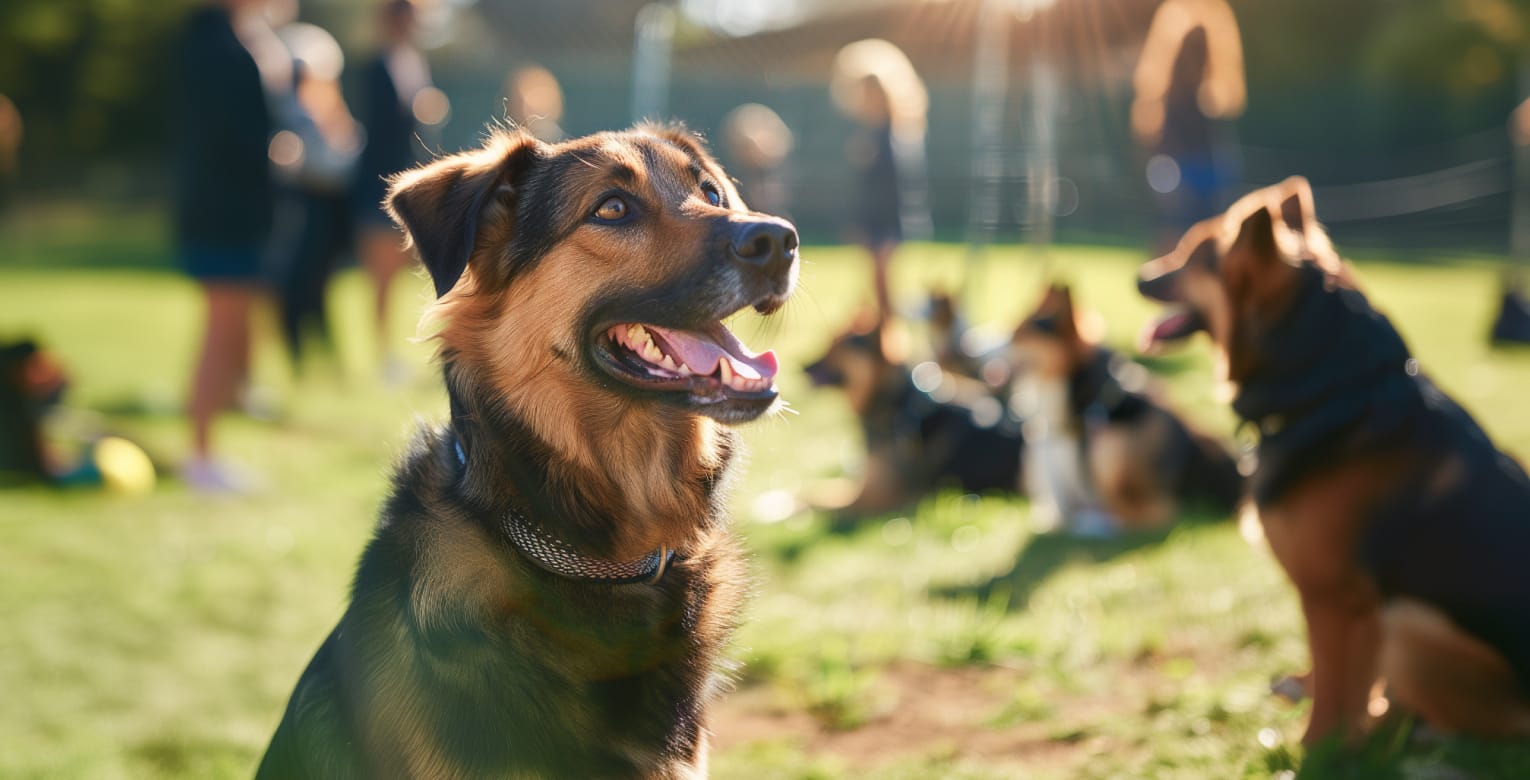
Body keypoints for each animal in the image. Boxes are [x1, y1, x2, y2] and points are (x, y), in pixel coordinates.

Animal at [795, 313, 1022, 513]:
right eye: (830, 342)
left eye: (839, 345)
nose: (802, 364)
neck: (895, 404)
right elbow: (812, 489)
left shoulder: (872, 498)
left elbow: (813, 498)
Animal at [1138, 176, 1530, 743]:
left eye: (1191, 257)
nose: (1141, 275)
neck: (1327, 389)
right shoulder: (1330, 601)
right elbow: (1326, 670)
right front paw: (1307, 689)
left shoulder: (1334, 599)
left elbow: (1335, 689)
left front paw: (1316, 747)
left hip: (1411, 627)